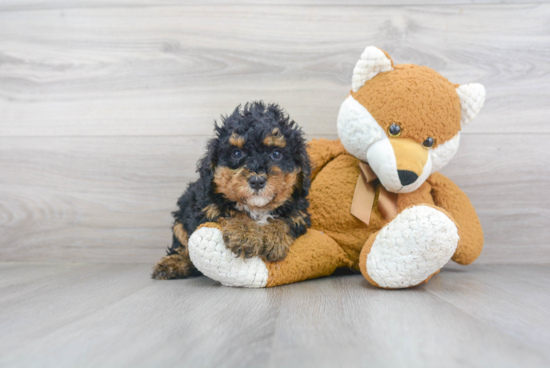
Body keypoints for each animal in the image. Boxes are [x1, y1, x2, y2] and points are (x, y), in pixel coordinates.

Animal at [153, 102, 312, 280]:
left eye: (276, 154)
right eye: (237, 153)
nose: (257, 181)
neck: (257, 208)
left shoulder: (299, 213)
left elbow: (285, 219)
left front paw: (273, 238)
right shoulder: (207, 207)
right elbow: (232, 212)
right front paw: (245, 235)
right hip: (182, 217)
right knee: (181, 243)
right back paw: (172, 264)